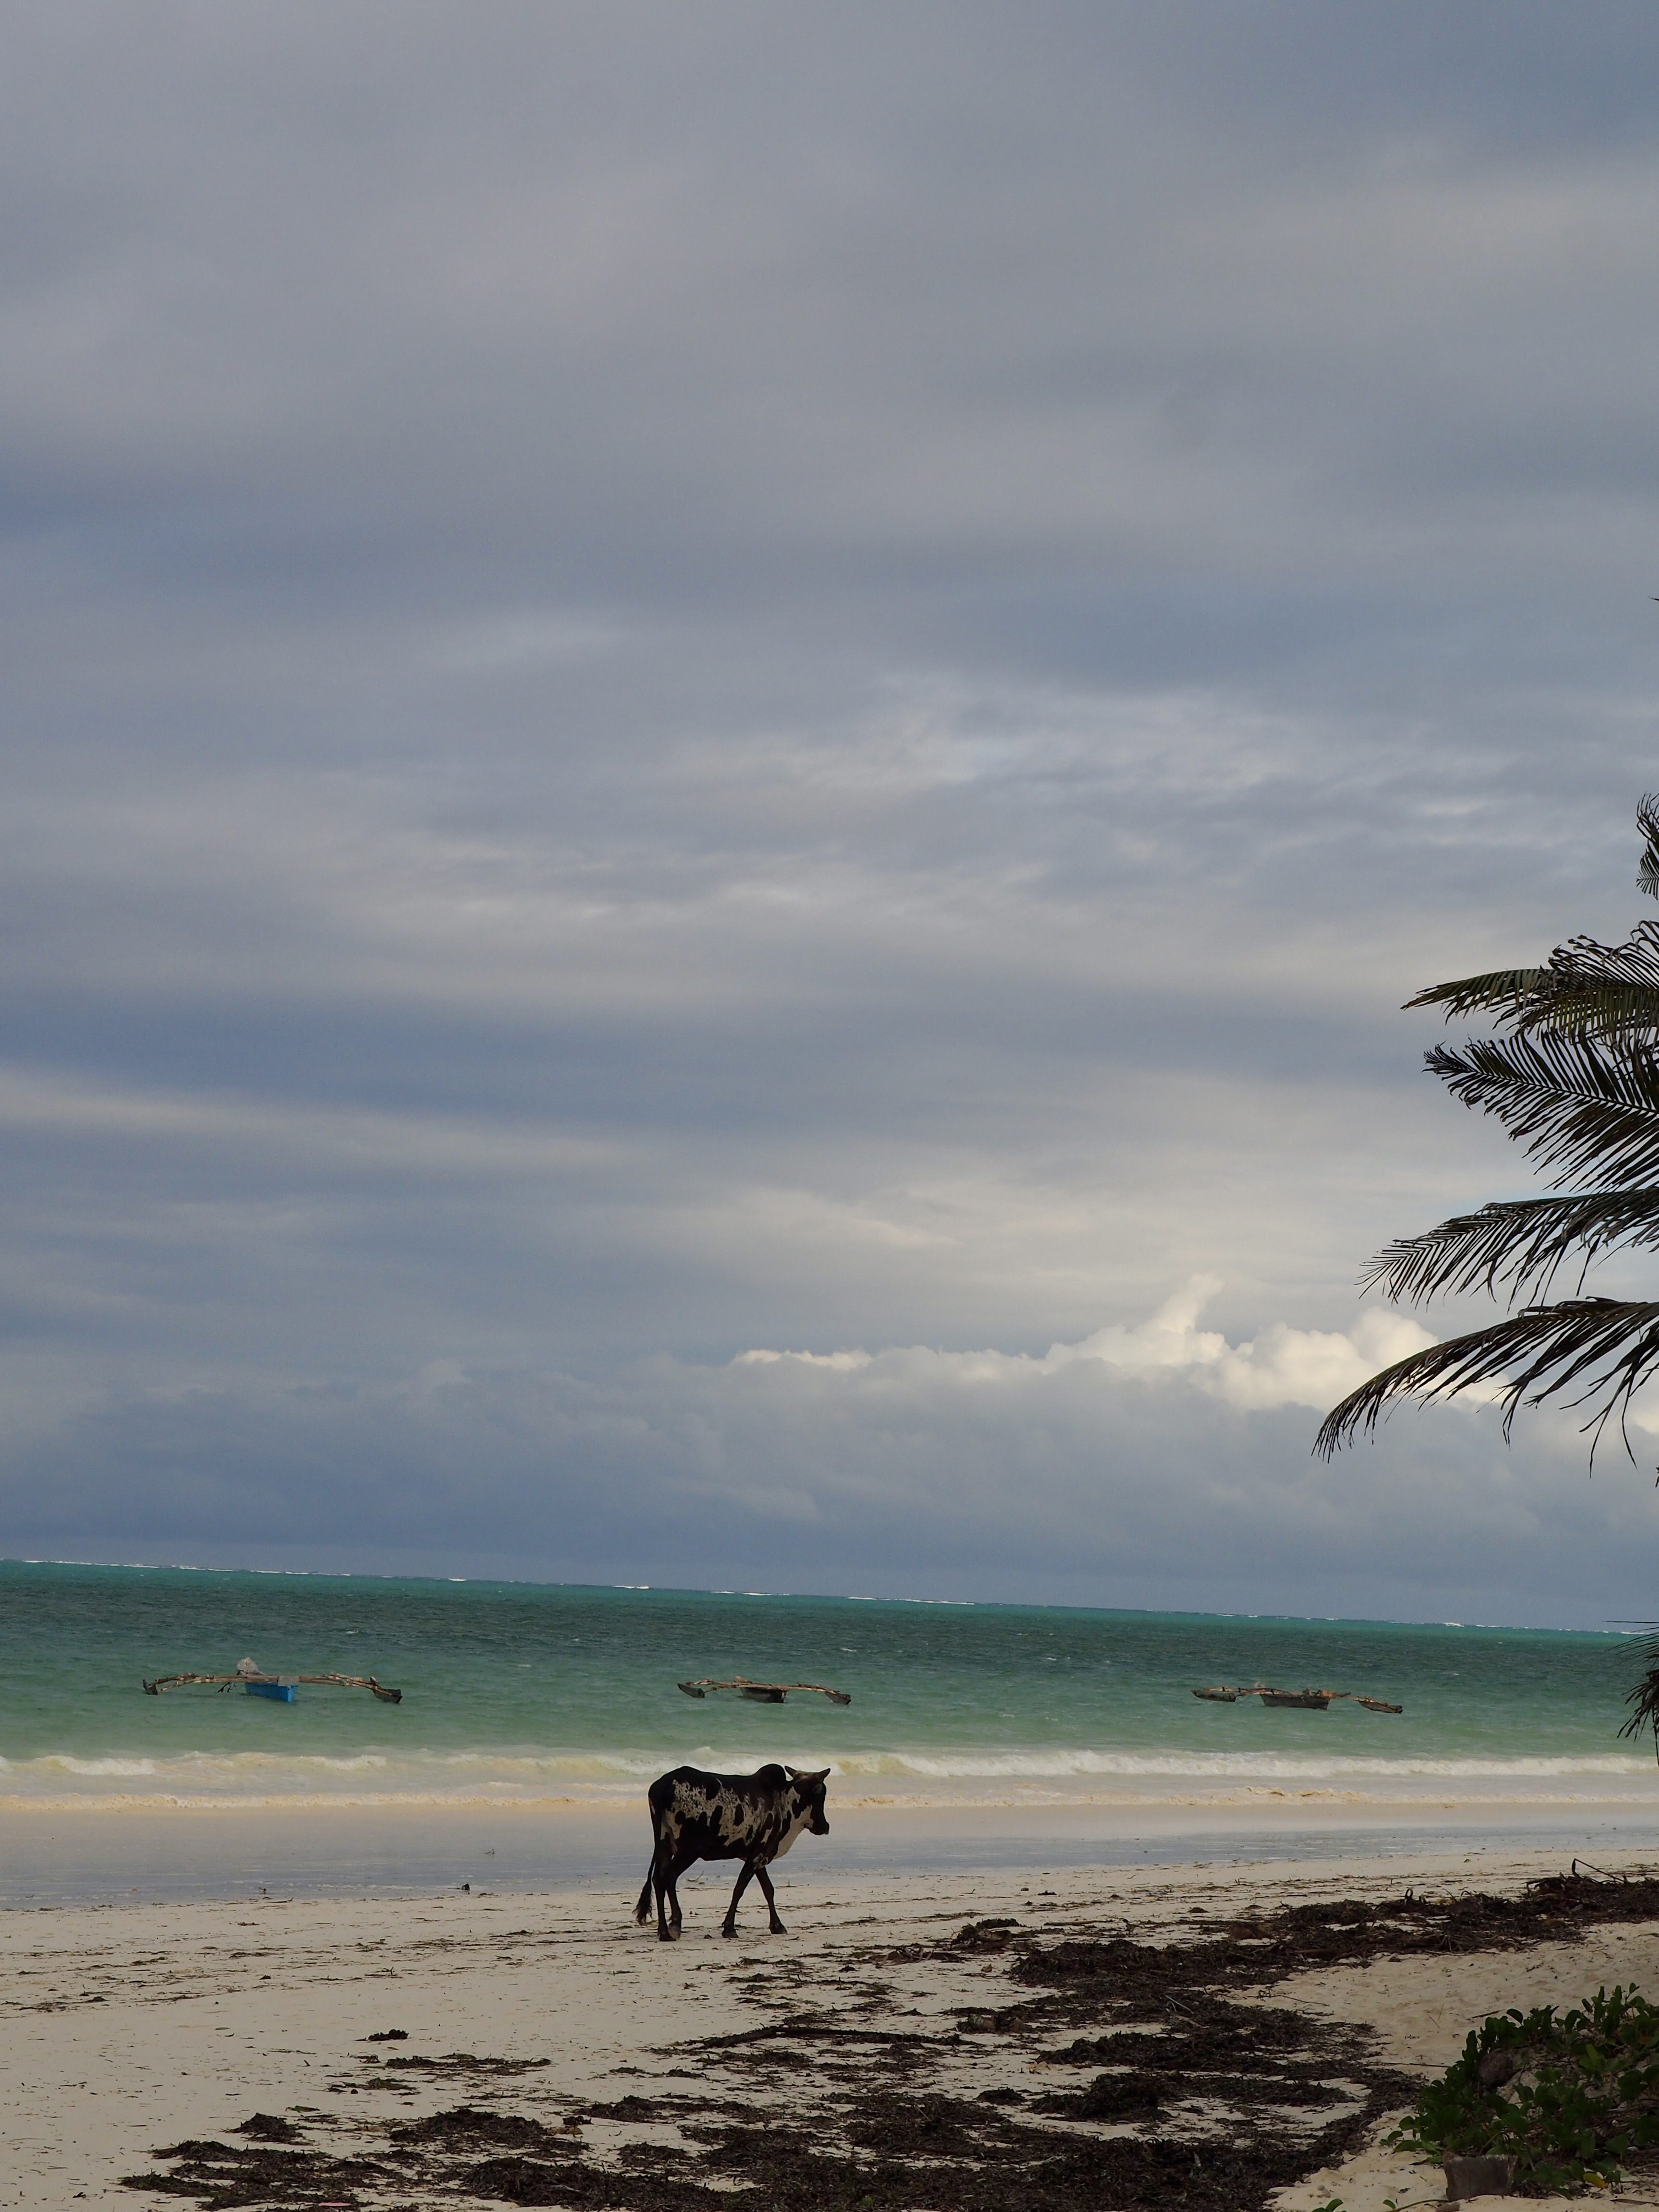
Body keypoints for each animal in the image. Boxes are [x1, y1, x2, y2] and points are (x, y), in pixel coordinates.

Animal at [641, 1760, 836, 1937]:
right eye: (821, 1794)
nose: (825, 1826)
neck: (783, 1800)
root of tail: (663, 1786)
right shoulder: (758, 1855)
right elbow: (740, 1889)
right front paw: (729, 1928)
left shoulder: (757, 1855)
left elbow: (768, 1890)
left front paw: (777, 1926)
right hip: (689, 1850)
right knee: (669, 1877)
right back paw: (674, 1925)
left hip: (665, 1845)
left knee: (658, 1879)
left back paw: (663, 1931)